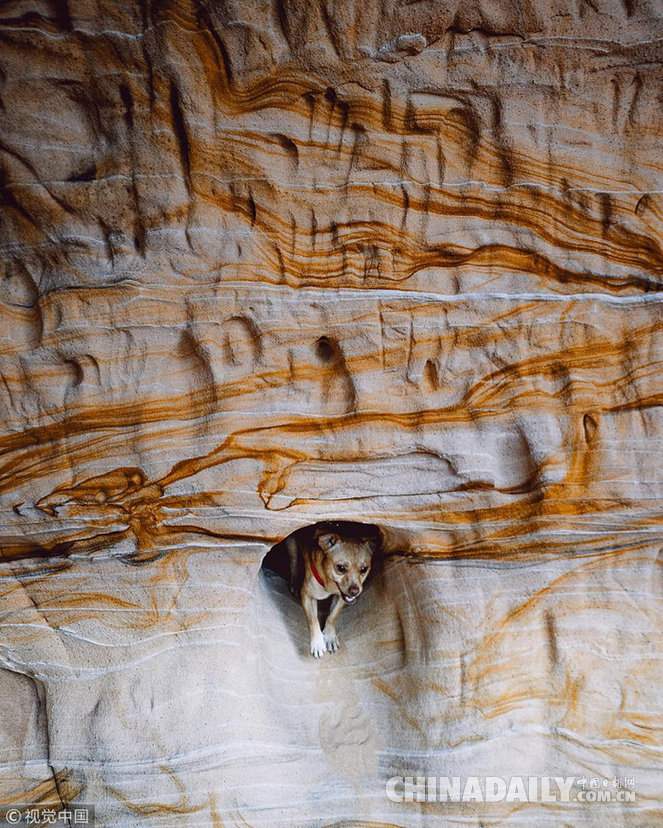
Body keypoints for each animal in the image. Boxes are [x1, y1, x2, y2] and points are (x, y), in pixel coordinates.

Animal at [286, 524, 378, 660]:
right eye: (341, 568)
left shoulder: (341, 598)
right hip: (291, 545)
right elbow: (313, 619)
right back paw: (294, 583)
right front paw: (317, 642)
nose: (354, 591)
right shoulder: (307, 594)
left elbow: (332, 615)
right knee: (293, 563)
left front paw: (330, 637)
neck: (330, 584)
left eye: (364, 569)